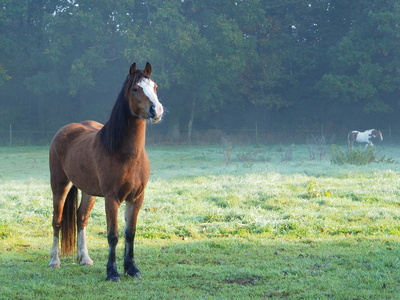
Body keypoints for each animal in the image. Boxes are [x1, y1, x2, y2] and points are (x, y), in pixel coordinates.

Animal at [48, 61, 164, 282]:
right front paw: (112, 272)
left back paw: (84, 258)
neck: (125, 153)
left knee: (81, 218)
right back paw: (54, 261)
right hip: (59, 186)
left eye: (155, 87)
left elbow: (130, 233)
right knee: (57, 221)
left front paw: (132, 269)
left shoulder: (136, 198)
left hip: (89, 192)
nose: (156, 110)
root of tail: (65, 130)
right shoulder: (112, 199)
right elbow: (113, 235)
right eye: (135, 89)